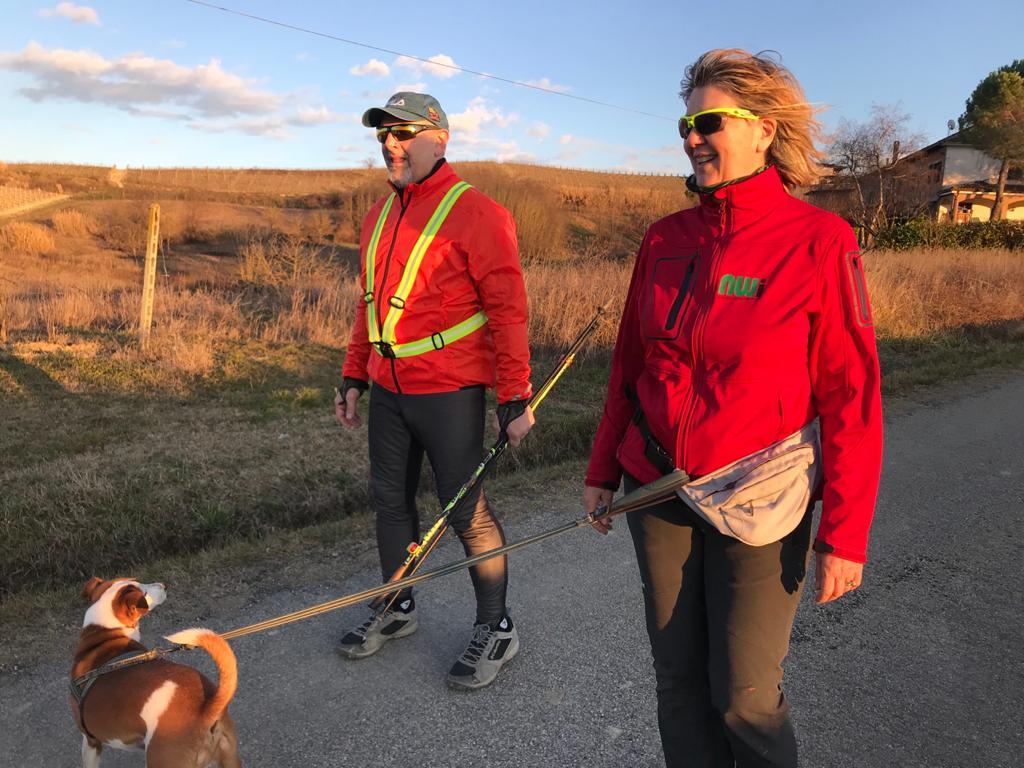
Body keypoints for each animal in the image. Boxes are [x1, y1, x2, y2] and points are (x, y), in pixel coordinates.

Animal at [69, 576, 242, 767]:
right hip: (229, 757)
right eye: (143, 591)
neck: (105, 633)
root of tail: (206, 709)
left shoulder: (91, 741)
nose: (165, 585)